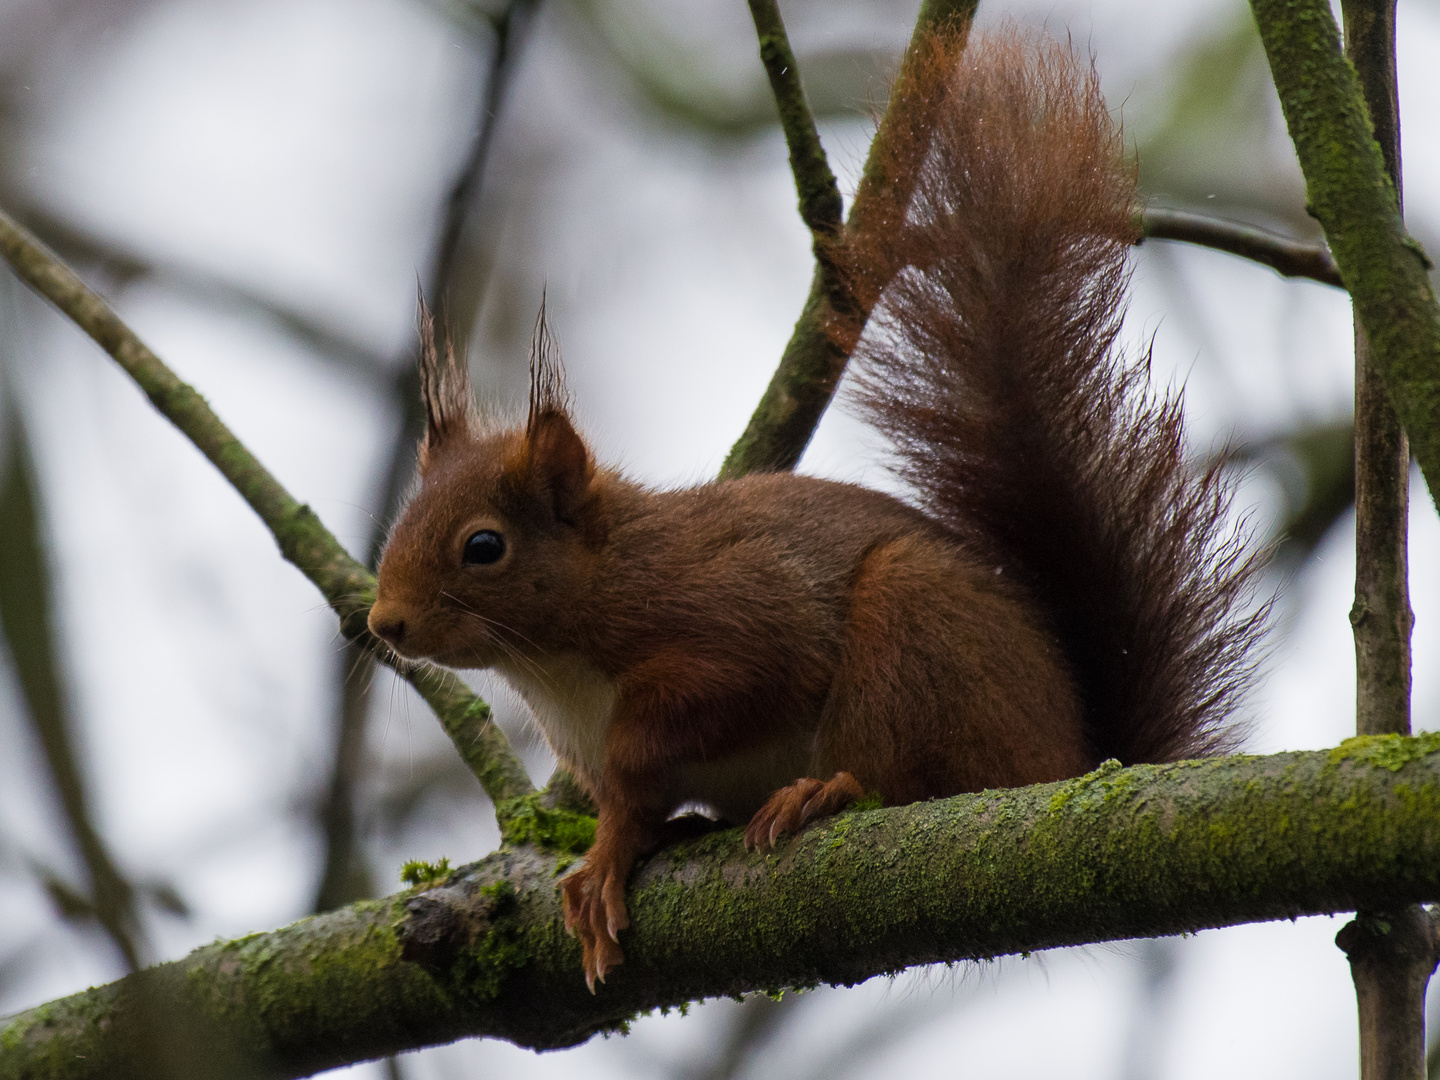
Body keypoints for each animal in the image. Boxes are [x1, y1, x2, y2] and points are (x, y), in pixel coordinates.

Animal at [365, 27, 1267, 990]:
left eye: (483, 547)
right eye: (399, 528)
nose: (385, 624)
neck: (560, 658)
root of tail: (1073, 760)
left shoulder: (731, 605)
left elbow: (728, 686)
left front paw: (632, 793)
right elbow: (627, 809)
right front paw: (607, 860)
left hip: (914, 638)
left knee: (914, 777)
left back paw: (824, 791)